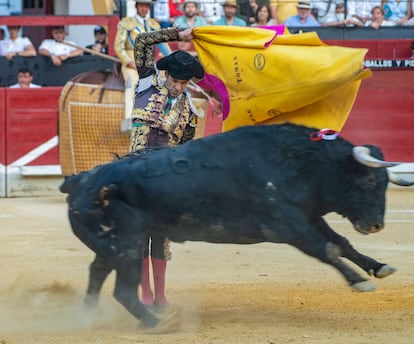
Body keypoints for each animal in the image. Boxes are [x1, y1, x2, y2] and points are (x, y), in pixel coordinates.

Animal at [59, 123, 412, 328]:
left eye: (385, 183)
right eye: (368, 181)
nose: (376, 225)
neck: (303, 161)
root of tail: (79, 181)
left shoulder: (309, 216)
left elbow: (341, 243)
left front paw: (379, 267)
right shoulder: (285, 224)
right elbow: (326, 249)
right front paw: (360, 282)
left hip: (112, 246)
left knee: (96, 272)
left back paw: (88, 316)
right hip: (129, 247)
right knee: (123, 290)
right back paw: (158, 323)